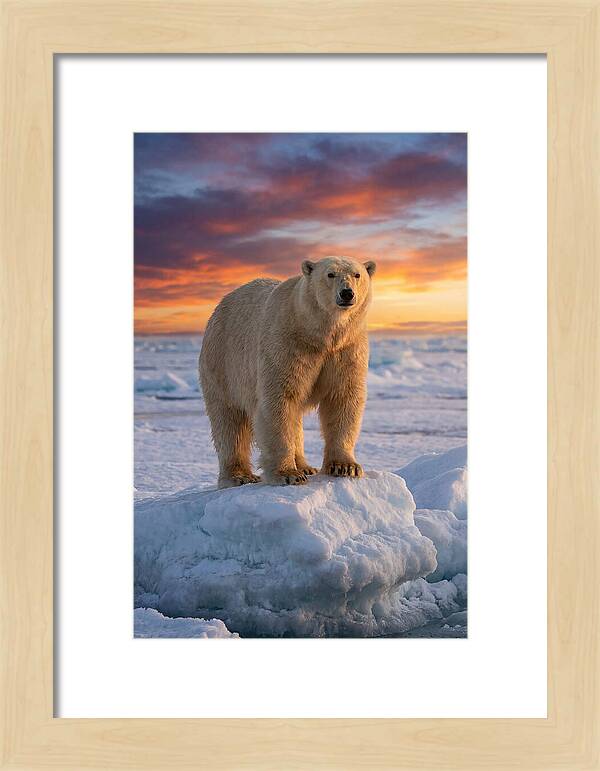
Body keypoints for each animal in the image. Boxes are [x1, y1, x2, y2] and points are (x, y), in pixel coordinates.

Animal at [199, 256, 376, 487]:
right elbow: (279, 401)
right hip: (223, 363)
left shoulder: (347, 349)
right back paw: (239, 476)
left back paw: (305, 466)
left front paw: (346, 467)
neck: (318, 333)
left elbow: (343, 398)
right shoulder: (286, 343)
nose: (347, 293)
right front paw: (288, 474)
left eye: (357, 274)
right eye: (330, 274)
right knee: (229, 422)